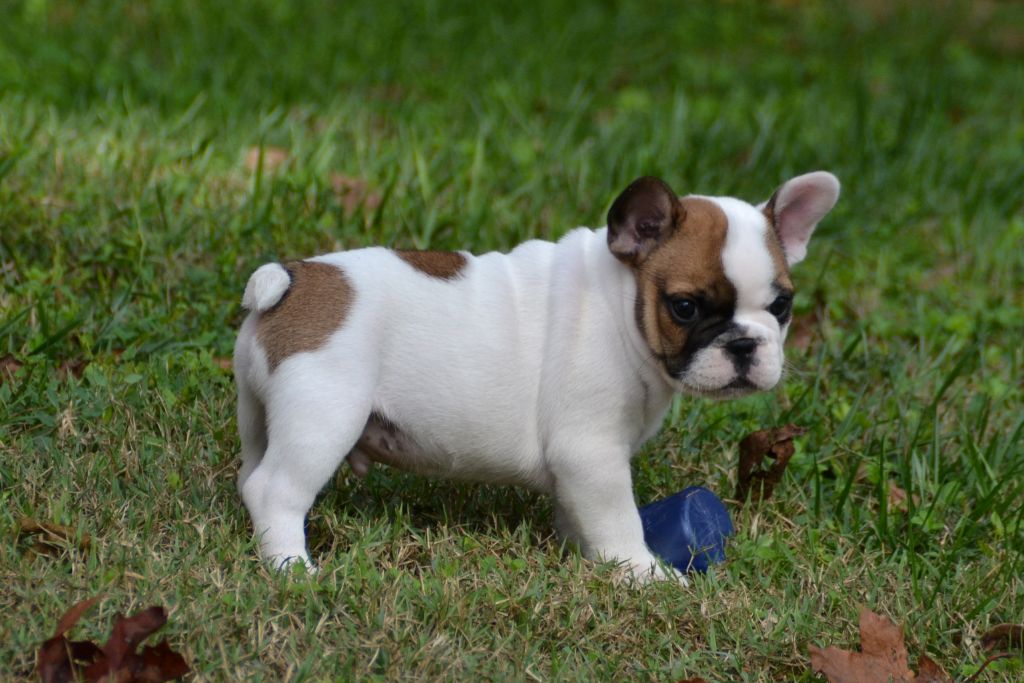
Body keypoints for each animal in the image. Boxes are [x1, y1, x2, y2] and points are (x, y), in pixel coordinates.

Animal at [233, 171, 840, 581]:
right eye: (685, 307)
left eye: (781, 306)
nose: (744, 343)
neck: (621, 305)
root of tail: (292, 280)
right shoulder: (591, 452)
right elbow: (618, 517)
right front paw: (642, 572)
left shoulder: (580, 467)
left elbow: (582, 513)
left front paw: (589, 558)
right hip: (325, 416)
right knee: (276, 489)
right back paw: (293, 568)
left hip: (261, 413)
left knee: (251, 473)